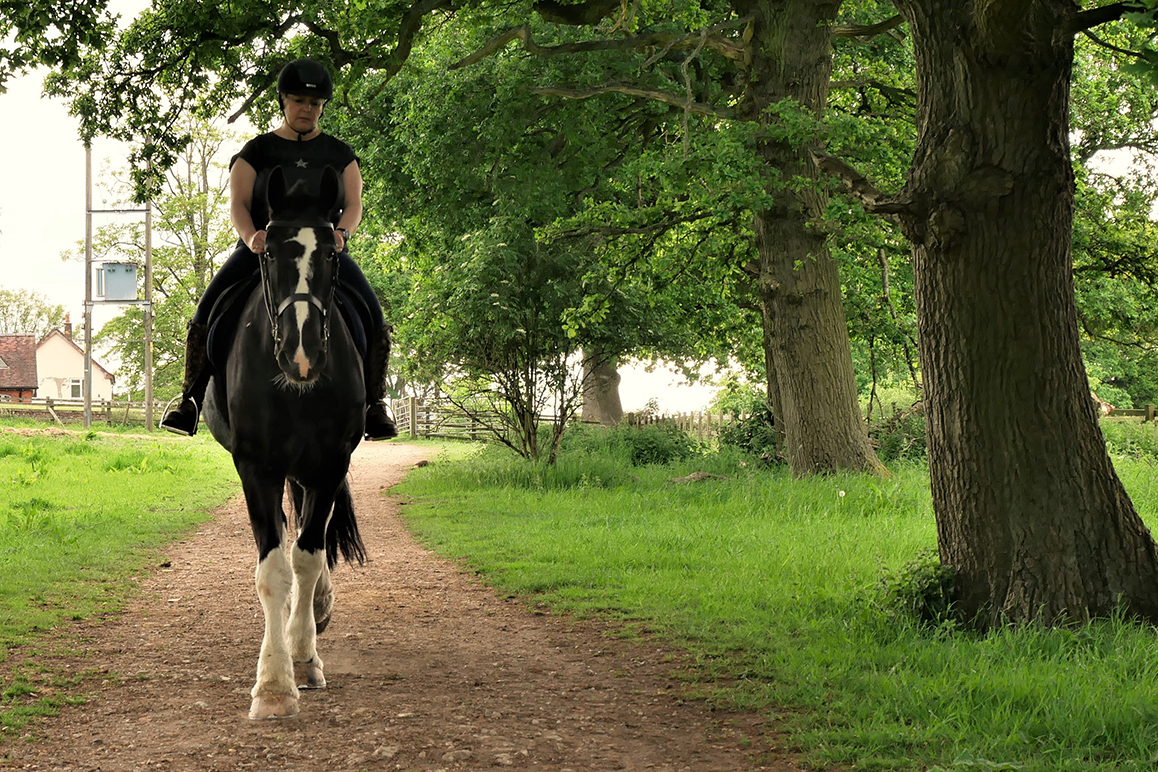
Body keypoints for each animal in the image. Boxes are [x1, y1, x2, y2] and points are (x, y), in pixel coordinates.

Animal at [203, 166, 365, 722]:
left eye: (332, 254)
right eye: (269, 252)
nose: (302, 353)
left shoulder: (330, 464)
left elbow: (308, 555)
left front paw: (303, 657)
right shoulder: (258, 468)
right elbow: (273, 570)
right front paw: (273, 684)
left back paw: (315, 609)